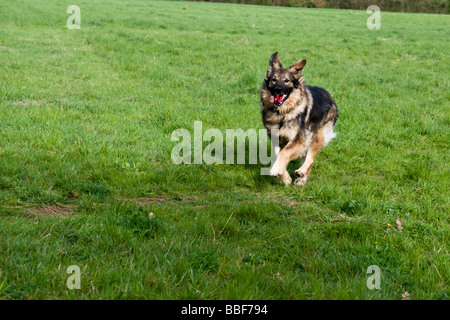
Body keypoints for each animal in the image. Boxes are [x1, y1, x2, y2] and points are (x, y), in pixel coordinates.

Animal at [260, 52, 338, 185]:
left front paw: (276, 169)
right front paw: (284, 177)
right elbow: (277, 154)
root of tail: (329, 96)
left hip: (316, 137)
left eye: (286, 81)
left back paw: (302, 173)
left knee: (310, 159)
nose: (278, 90)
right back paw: (302, 179)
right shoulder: (276, 138)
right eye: (274, 80)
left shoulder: (299, 138)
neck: (281, 114)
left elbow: (284, 152)